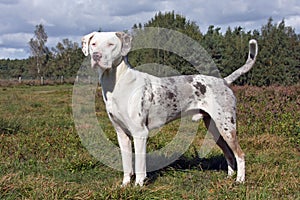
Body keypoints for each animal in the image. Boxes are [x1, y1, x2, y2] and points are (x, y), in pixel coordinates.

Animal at [81, 30, 258, 186]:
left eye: (111, 44)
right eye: (93, 44)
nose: (96, 56)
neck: (116, 83)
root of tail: (224, 81)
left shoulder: (140, 133)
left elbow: (139, 165)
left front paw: (138, 185)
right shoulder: (121, 134)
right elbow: (127, 165)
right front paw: (125, 185)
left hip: (227, 127)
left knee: (240, 154)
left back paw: (240, 181)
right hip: (215, 130)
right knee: (229, 154)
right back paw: (229, 177)